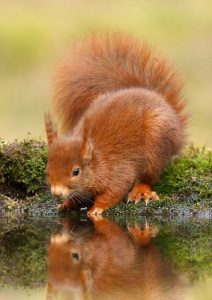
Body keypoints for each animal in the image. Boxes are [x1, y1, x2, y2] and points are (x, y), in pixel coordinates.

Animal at [45, 33, 188, 216]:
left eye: (75, 171)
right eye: (48, 168)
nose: (56, 192)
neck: (97, 160)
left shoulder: (118, 172)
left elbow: (115, 190)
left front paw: (97, 208)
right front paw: (67, 203)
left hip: (156, 143)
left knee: (150, 176)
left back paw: (141, 191)